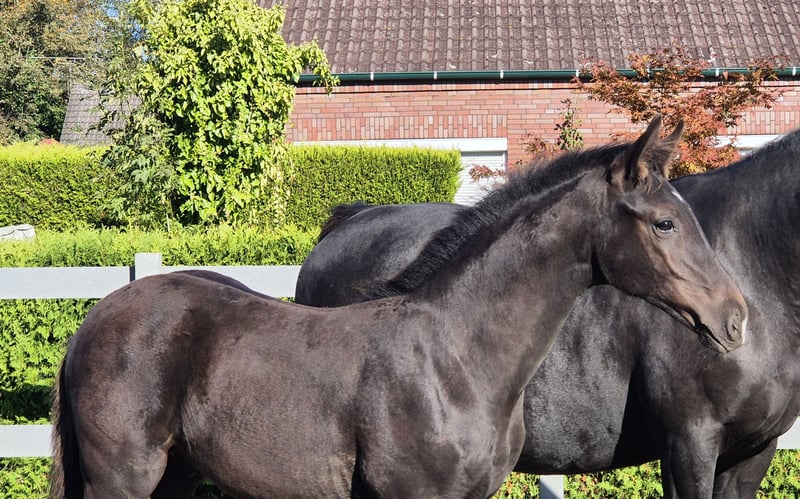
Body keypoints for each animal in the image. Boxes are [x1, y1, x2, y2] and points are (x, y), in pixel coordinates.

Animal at [49, 116, 747, 498]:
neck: (456, 360)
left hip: (176, 474)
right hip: (122, 476)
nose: (735, 318)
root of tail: (94, 321)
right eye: (664, 223)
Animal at [293, 126, 800, 497]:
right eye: (665, 224)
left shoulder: (753, 451)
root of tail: (346, 223)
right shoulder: (690, 443)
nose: (733, 320)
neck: (753, 262)